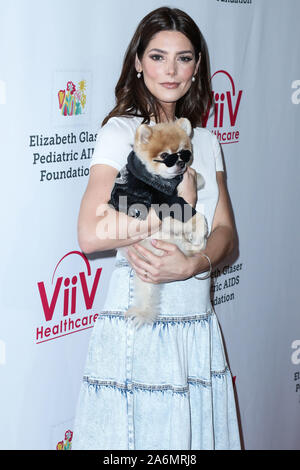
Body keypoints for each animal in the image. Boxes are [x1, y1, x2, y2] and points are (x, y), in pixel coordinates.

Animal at [108, 118, 209, 326]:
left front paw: (199, 179)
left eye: (185, 153)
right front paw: (199, 229)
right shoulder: (167, 205)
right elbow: (195, 216)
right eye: (165, 156)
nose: (180, 162)